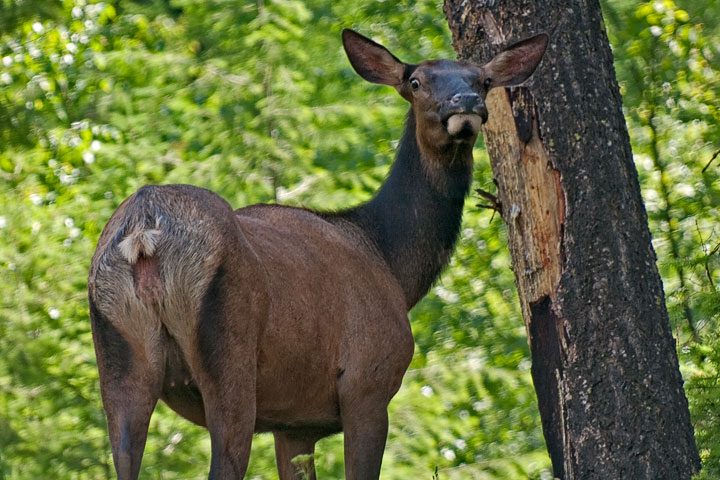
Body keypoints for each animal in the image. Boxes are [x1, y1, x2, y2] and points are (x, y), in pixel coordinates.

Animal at [87, 28, 544, 478]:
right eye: (415, 81)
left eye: (482, 79)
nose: (465, 103)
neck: (392, 262)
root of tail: (145, 234)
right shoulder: (368, 382)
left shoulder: (294, 423)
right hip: (230, 353)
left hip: (117, 359)